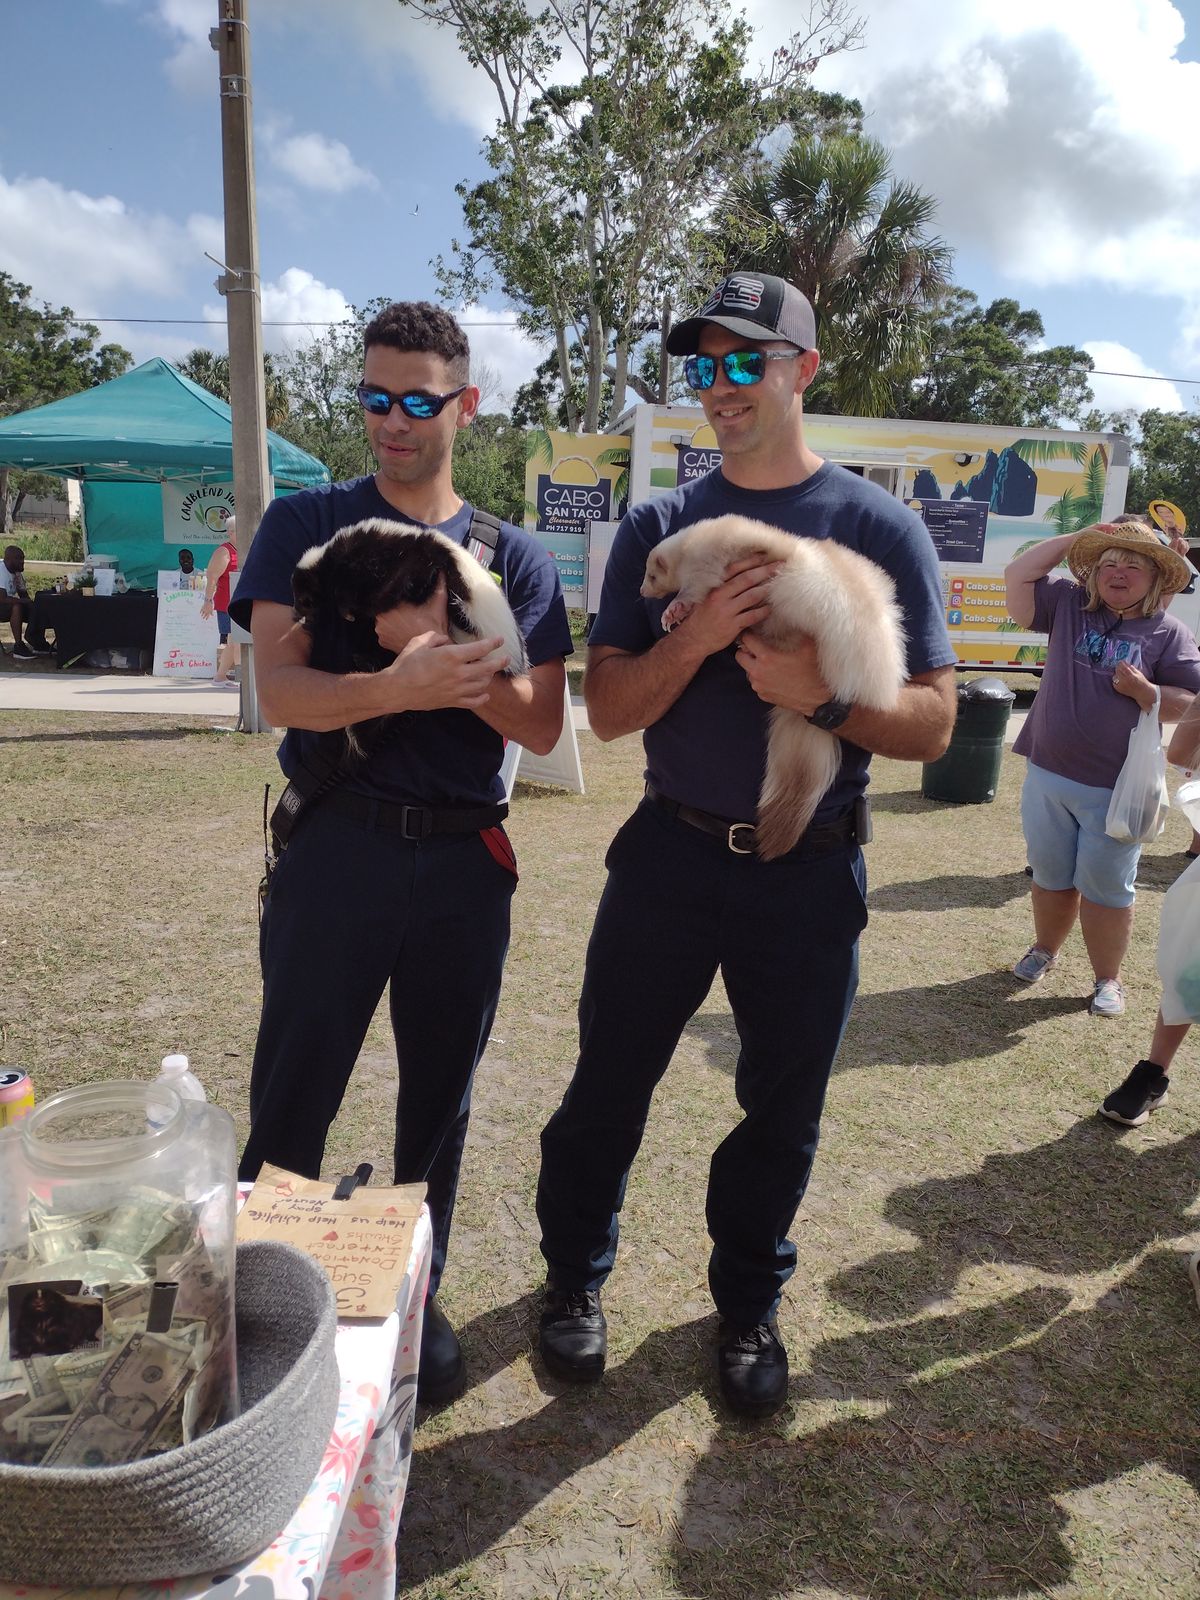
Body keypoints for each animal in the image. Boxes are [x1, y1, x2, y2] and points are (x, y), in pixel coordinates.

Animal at [641, 514, 907, 859]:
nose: (642, 590)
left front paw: (674, 610)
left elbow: (693, 591)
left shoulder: (708, 568)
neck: (694, 546)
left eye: (651, 574)